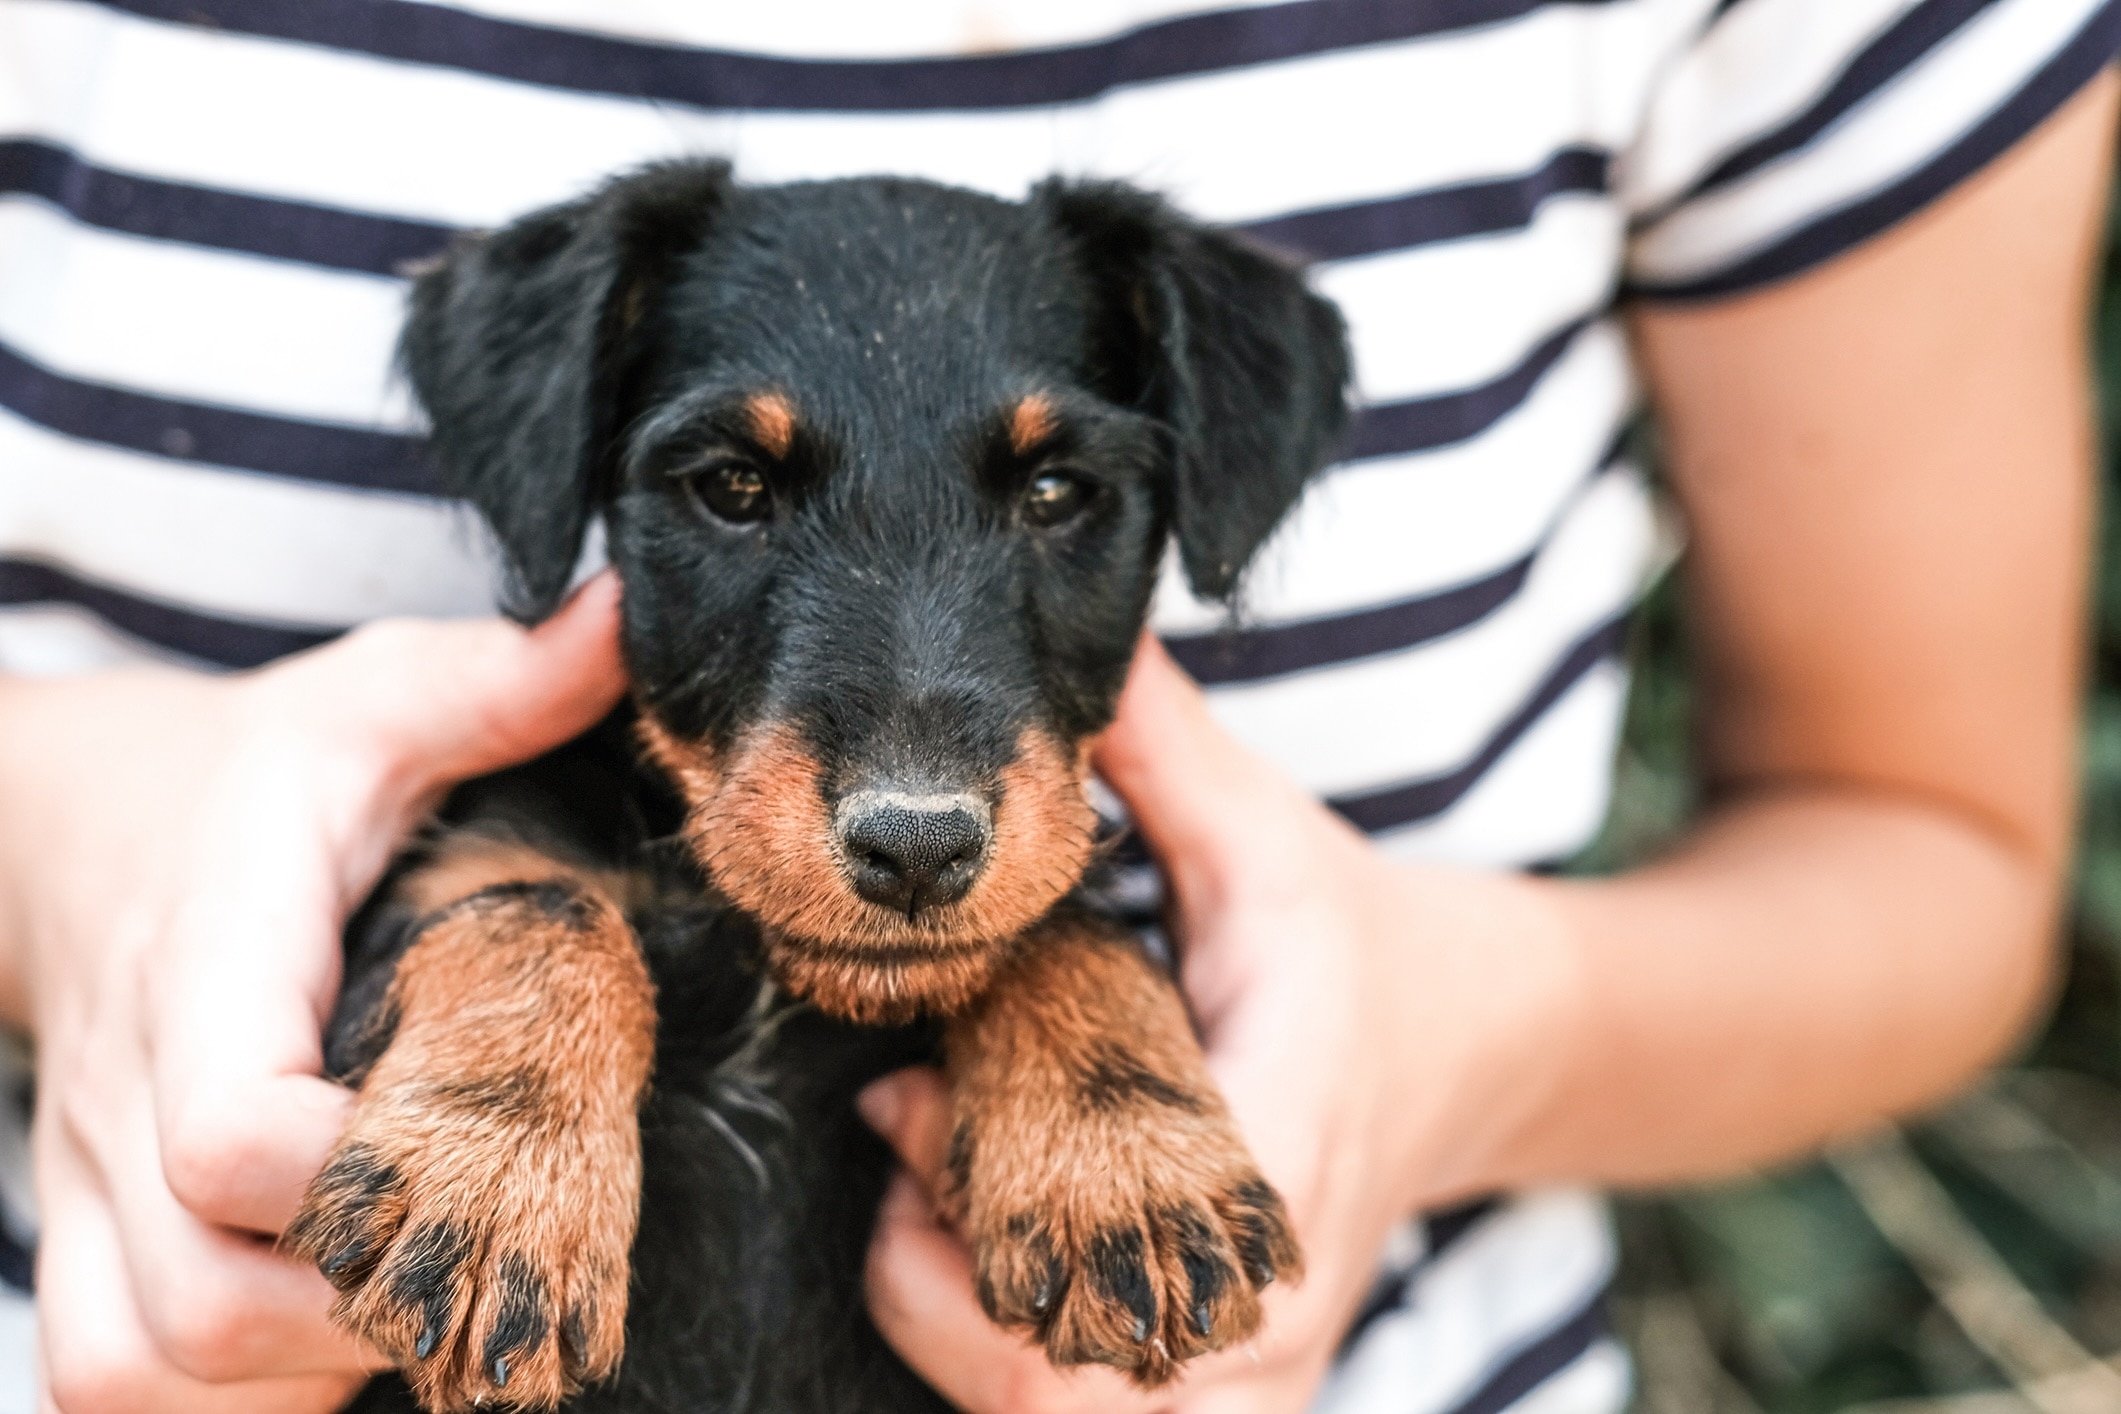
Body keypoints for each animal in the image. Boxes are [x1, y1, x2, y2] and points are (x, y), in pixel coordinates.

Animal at [282, 160, 1348, 1407]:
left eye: (1056, 491)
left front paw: (1128, 1165)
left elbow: (1064, 926)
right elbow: (534, 903)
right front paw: (493, 1182)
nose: (918, 847)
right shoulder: (413, 906)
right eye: (733, 485)